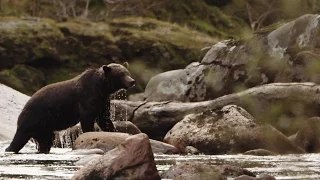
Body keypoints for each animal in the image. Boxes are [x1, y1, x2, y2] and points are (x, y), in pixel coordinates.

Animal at [5, 62, 135, 153]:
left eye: (128, 72)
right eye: (121, 74)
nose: (132, 81)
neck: (102, 88)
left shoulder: (103, 101)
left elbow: (104, 119)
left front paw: (114, 131)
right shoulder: (87, 97)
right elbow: (87, 118)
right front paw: (89, 133)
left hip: (44, 126)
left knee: (46, 140)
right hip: (34, 118)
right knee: (21, 138)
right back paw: (10, 149)